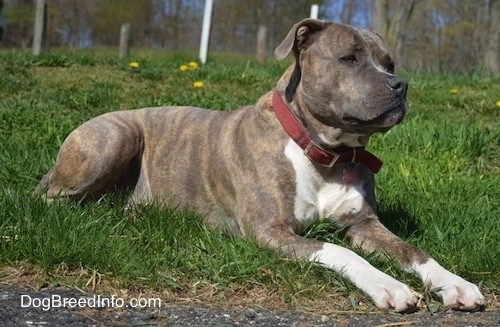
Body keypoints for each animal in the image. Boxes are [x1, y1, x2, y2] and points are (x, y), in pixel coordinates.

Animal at [37, 19, 486, 314]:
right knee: (53, 201)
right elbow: (341, 251)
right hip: (114, 140)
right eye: (349, 58)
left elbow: (415, 252)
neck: (324, 152)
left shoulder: (365, 224)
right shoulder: (272, 232)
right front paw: (388, 285)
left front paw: (456, 284)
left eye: (389, 63)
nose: (400, 85)